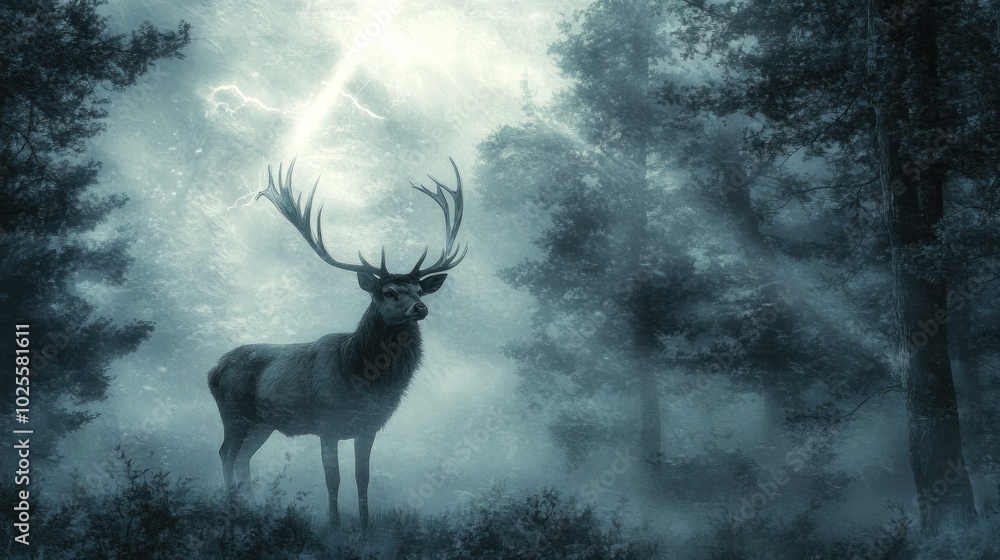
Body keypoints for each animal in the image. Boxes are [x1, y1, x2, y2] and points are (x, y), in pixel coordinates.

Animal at [207, 158, 466, 528]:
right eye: (388, 292)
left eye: (418, 289)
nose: (421, 307)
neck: (359, 374)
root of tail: (212, 371)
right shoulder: (326, 423)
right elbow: (333, 478)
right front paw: (334, 524)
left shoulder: (368, 427)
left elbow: (362, 477)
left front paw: (365, 524)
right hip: (233, 412)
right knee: (226, 453)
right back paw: (232, 509)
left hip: (262, 423)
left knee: (243, 458)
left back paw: (253, 510)